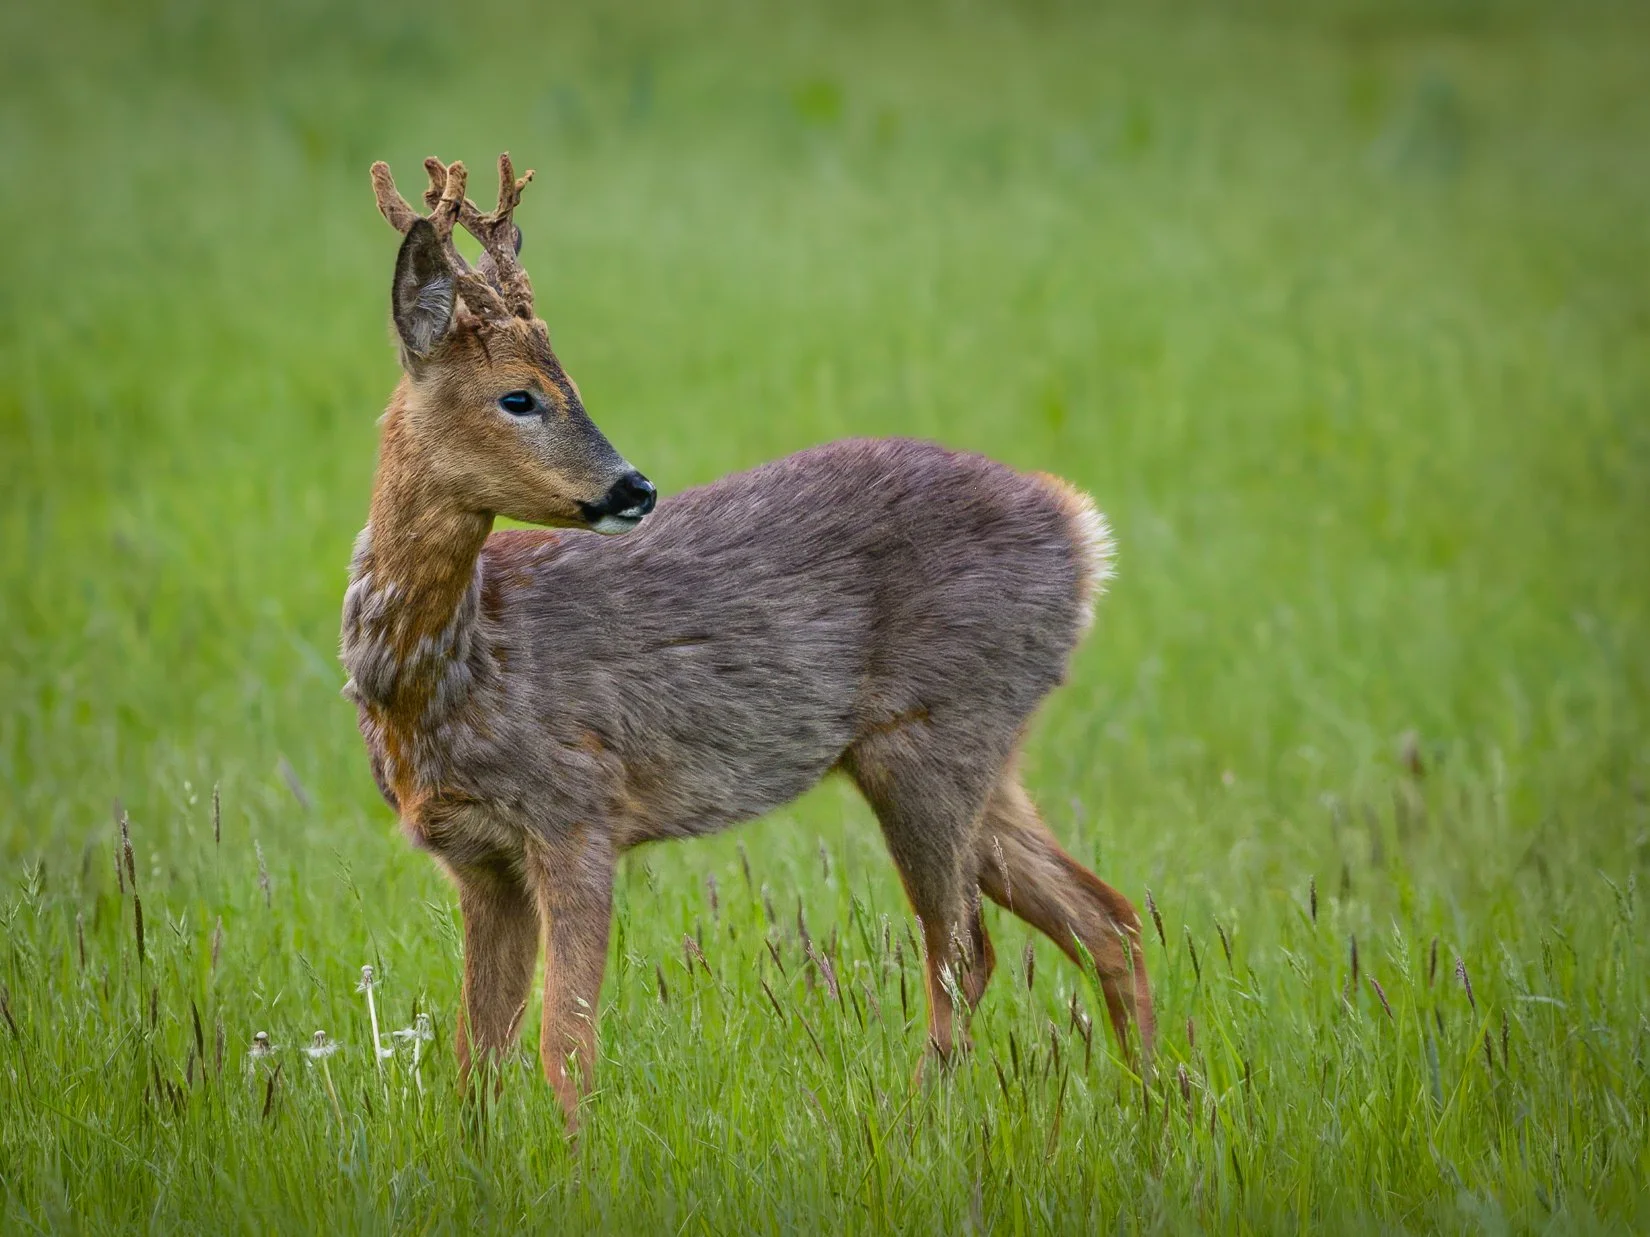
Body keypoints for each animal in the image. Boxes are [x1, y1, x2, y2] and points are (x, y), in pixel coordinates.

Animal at [343, 152, 1157, 1129]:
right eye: (519, 396)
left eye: (571, 384)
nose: (634, 489)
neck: (452, 669)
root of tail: (1080, 531)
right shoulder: (479, 858)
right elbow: (477, 1064)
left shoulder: (578, 807)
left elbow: (564, 1049)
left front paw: (579, 1157)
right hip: (980, 749)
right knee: (1107, 918)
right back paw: (1163, 1105)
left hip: (931, 734)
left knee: (966, 952)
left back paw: (915, 1126)